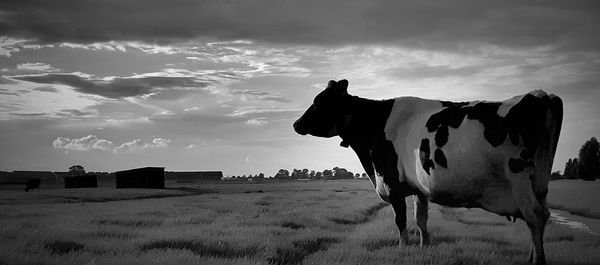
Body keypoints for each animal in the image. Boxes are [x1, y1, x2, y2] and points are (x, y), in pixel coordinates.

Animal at [294, 79, 564, 264]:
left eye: (319, 102)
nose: (296, 124)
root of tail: (542, 95)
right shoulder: (418, 188)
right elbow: (421, 219)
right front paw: (424, 247)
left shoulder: (392, 182)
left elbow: (401, 220)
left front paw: (402, 248)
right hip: (540, 181)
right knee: (541, 214)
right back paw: (530, 257)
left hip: (518, 177)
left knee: (535, 216)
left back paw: (538, 261)